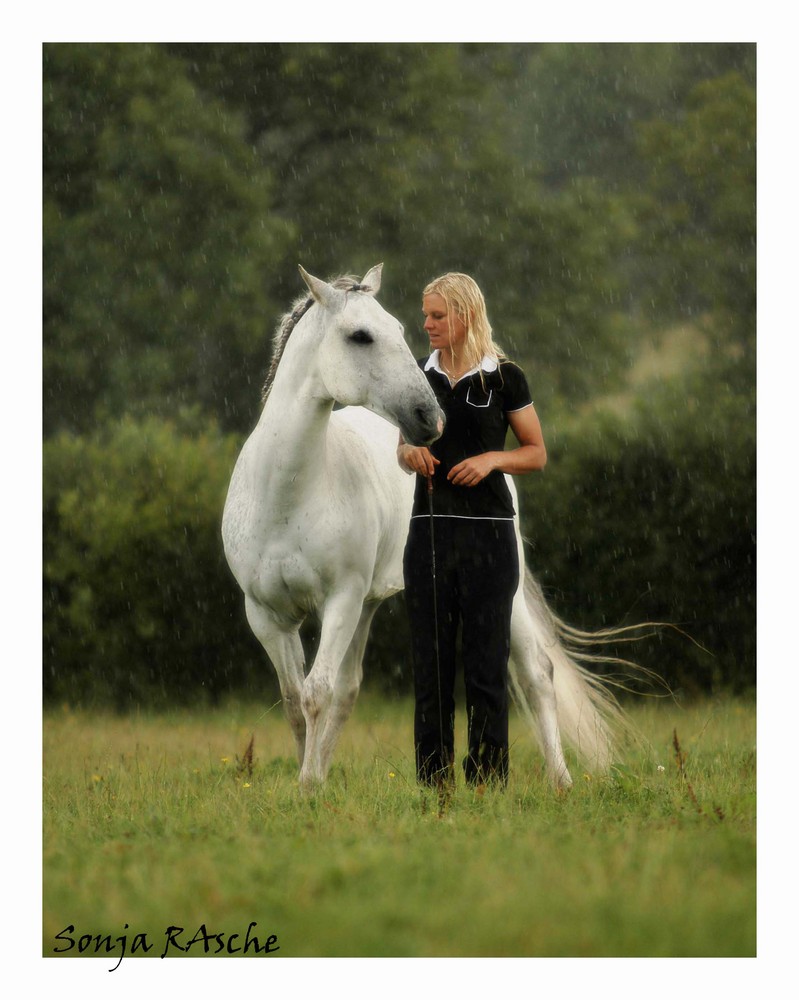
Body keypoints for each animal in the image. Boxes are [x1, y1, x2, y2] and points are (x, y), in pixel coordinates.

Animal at [222, 264, 620, 788]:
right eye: (361, 336)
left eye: (399, 328)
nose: (430, 417)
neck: (286, 496)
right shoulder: (266, 616)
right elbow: (295, 701)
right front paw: (310, 783)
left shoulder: (340, 600)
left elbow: (316, 692)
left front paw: (307, 785)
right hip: (366, 605)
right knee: (348, 691)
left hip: (495, 593)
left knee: (537, 672)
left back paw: (561, 781)